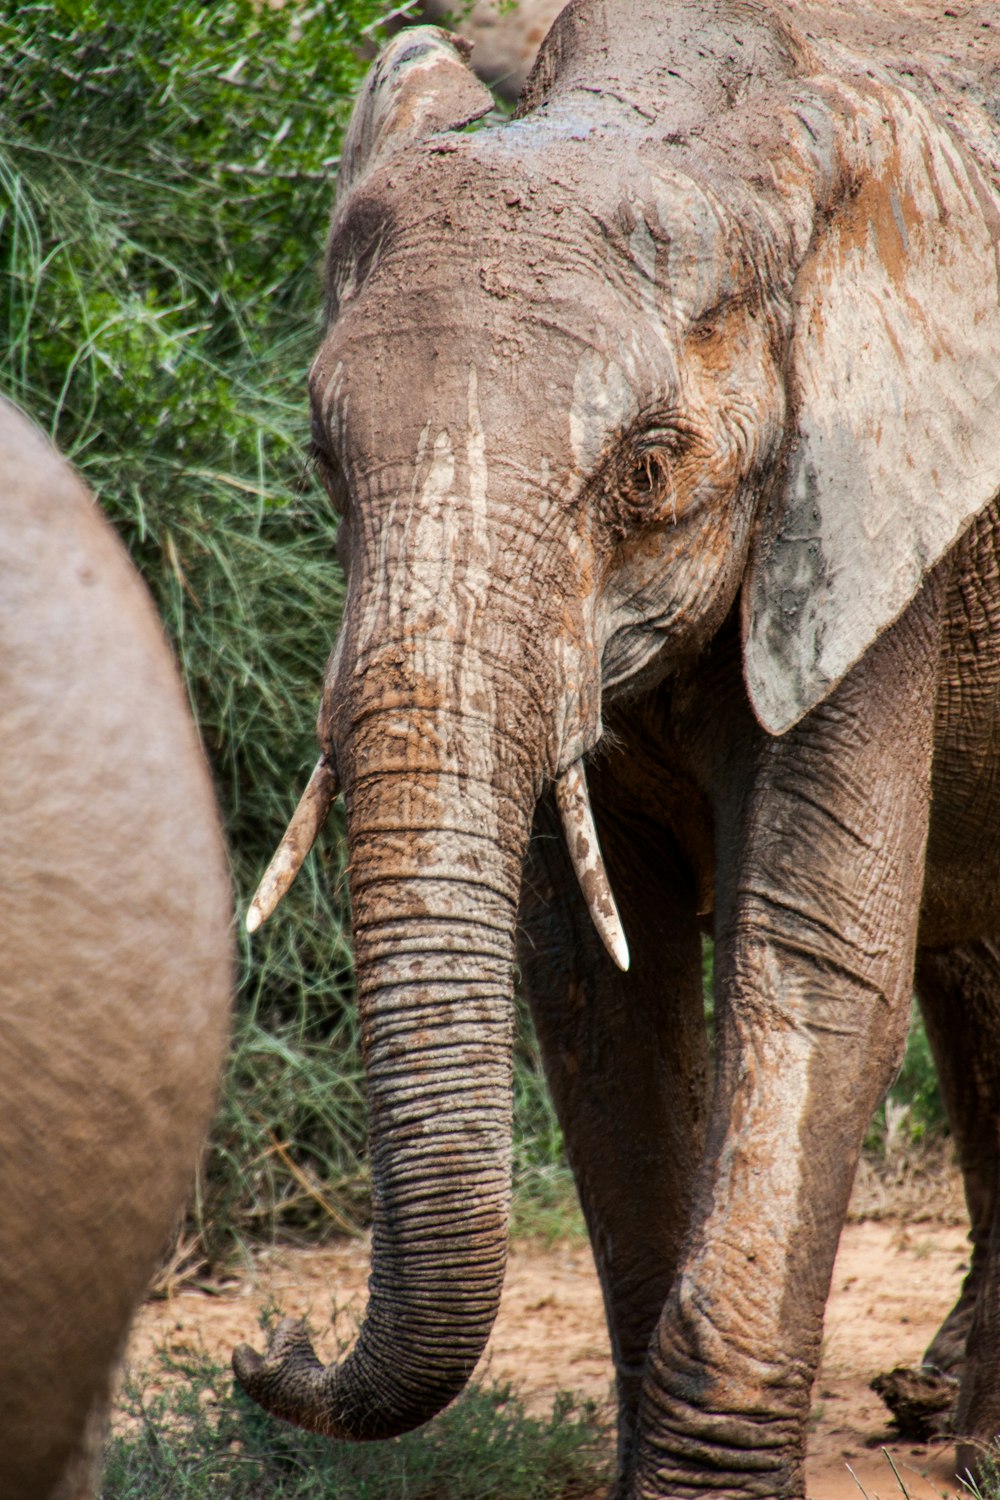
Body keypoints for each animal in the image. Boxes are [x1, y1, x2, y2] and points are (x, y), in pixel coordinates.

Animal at [235, 0, 1000, 1494]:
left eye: (647, 471)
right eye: (322, 459)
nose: (269, 1346)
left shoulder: (874, 524)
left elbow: (809, 960)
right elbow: (589, 982)